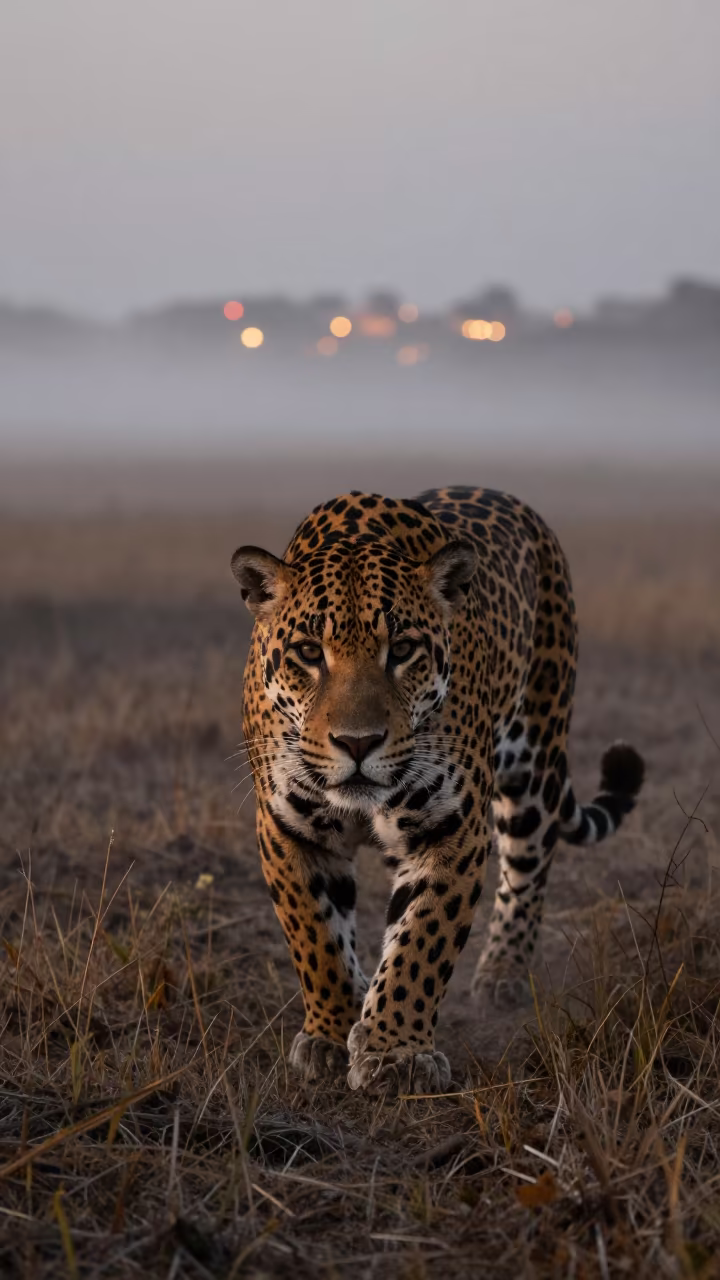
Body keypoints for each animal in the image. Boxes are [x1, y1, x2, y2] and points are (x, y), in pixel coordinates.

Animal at [231, 487, 644, 1094]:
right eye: (308, 652)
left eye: (402, 649)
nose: (358, 742)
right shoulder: (289, 825)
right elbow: (316, 938)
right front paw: (332, 1031)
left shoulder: (451, 826)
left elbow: (420, 944)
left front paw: (395, 1053)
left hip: (535, 755)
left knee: (527, 869)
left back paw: (501, 973)